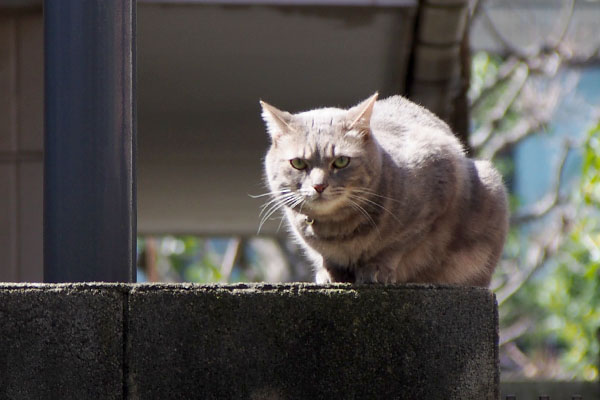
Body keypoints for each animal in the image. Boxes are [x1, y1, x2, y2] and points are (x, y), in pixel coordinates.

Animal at [258, 93, 506, 288]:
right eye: (298, 163)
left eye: (341, 161)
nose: (319, 185)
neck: (338, 231)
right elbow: (323, 255)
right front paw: (329, 273)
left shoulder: (437, 187)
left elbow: (398, 244)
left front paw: (377, 269)